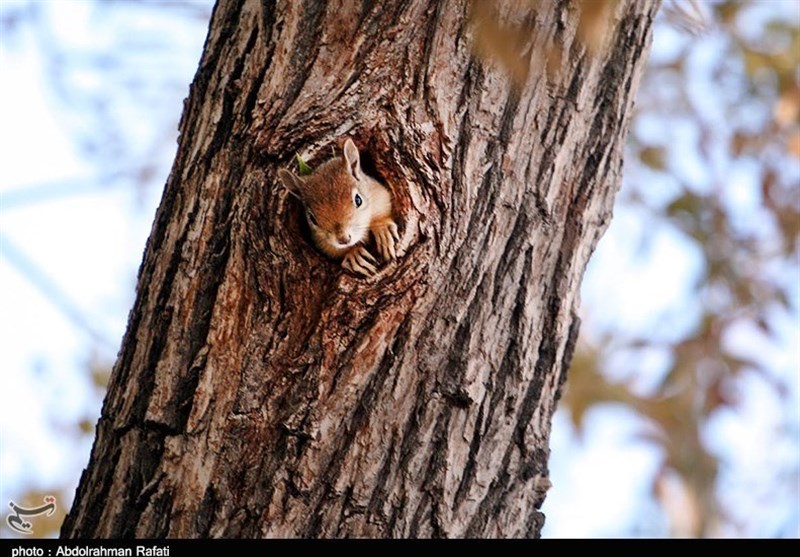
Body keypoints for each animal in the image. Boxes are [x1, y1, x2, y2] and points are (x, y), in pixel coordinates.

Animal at [278, 138, 400, 276]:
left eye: (358, 200)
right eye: (312, 219)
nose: (344, 239)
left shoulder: (379, 195)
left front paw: (382, 229)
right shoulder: (322, 243)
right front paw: (353, 254)